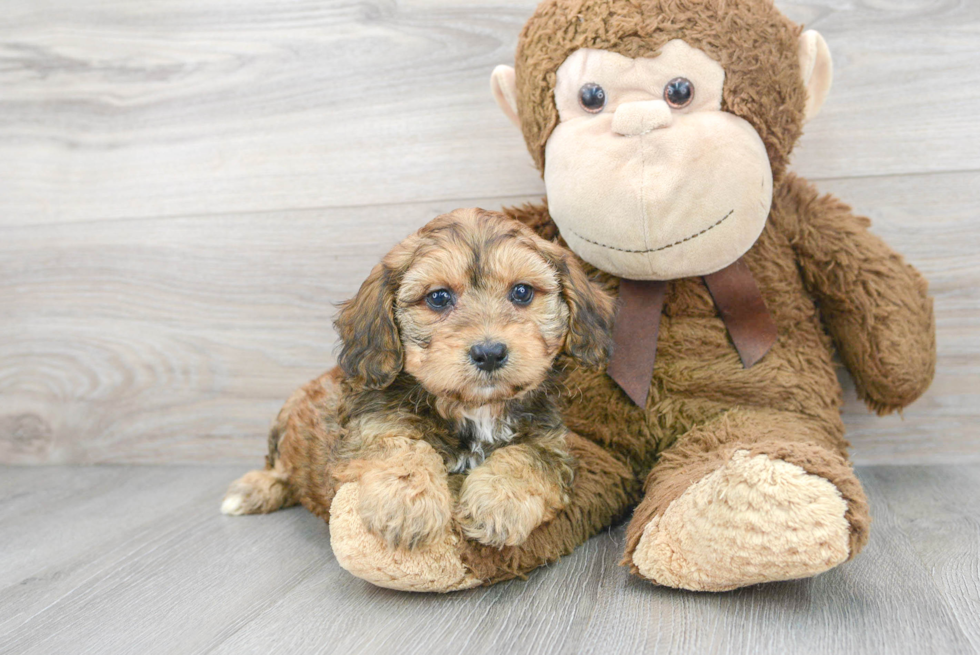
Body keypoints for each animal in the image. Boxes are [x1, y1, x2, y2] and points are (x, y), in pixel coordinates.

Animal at [222, 208, 612, 552]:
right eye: (438, 298)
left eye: (522, 292)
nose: (489, 352)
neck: (474, 408)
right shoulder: (370, 423)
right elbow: (400, 447)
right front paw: (407, 507)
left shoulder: (551, 443)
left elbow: (528, 459)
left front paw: (497, 505)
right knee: (278, 470)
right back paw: (250, 491)